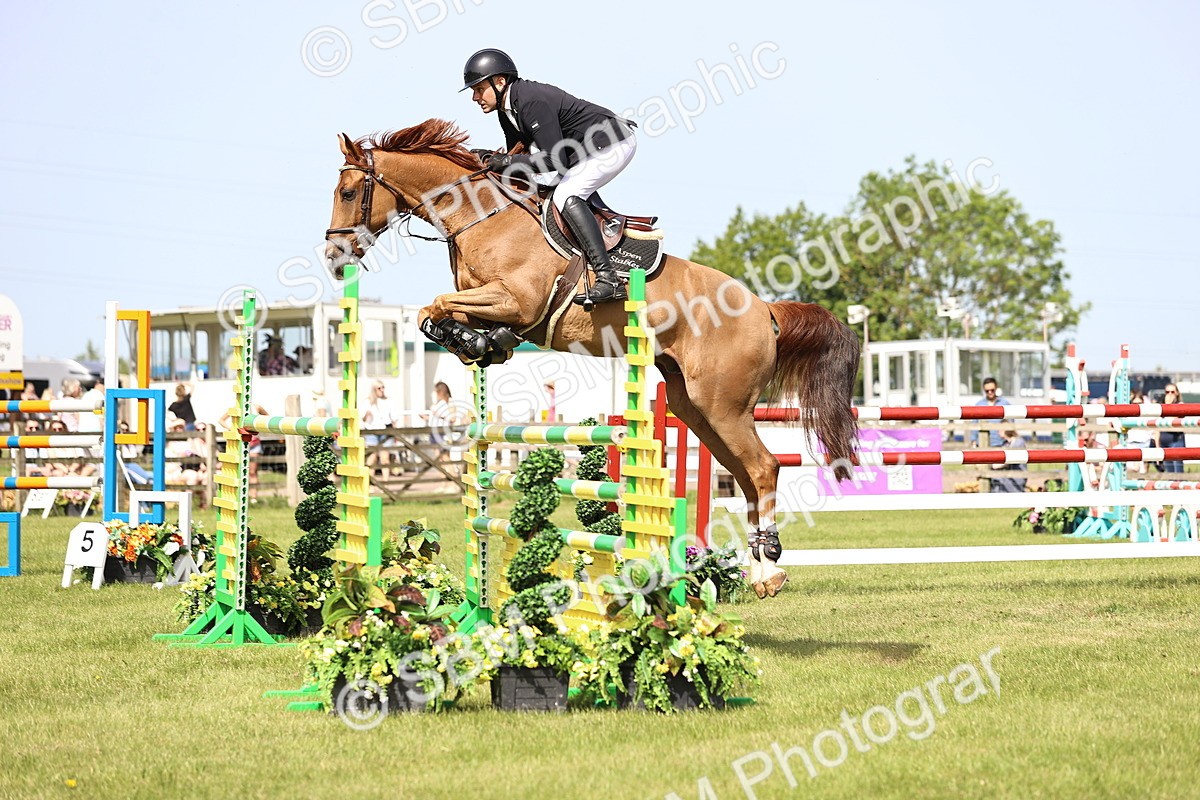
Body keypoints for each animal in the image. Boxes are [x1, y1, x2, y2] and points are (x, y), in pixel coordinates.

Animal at [324, 119, 860, 597]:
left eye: (348, 192)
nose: (334, 259)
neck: (482, 218)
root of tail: (764, 309)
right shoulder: (491, 302)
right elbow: (432, 312)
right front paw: (481, 344)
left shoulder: (515, 299)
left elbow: (435, 305)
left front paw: (475, 341)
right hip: (696, 407)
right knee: (745, 475)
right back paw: (758, 569)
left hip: (723, 405)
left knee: (765, 468)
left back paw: (769, 569)